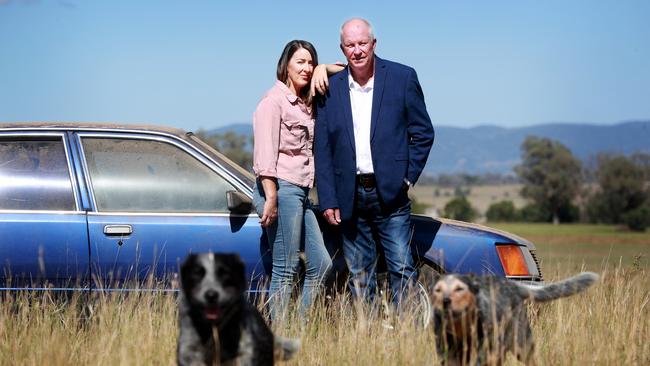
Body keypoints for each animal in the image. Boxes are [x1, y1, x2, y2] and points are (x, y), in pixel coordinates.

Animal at [432, 270, 596, 364]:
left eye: (459, 288)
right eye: (437, 290)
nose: (445, 301)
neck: (461, 324)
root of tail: (513, 285)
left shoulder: (486, 346)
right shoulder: (448, 350)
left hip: (522, 345)